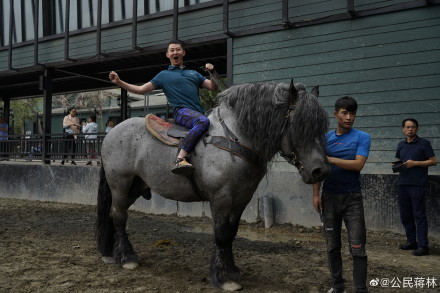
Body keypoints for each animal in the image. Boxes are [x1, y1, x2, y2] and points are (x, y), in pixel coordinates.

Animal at [97, 80, 330, 290]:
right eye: (299, 125)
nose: (320, 171)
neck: (234, 139)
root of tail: (112, 133)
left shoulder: (241, 198)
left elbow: (231, 233)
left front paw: (232, 270)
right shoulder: (221, 198)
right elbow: (221, 234)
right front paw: (224, 277)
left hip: (135, 187)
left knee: (113, 215)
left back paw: (111, 253)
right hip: (120, 185)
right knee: (119, 216)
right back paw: (127, 257)